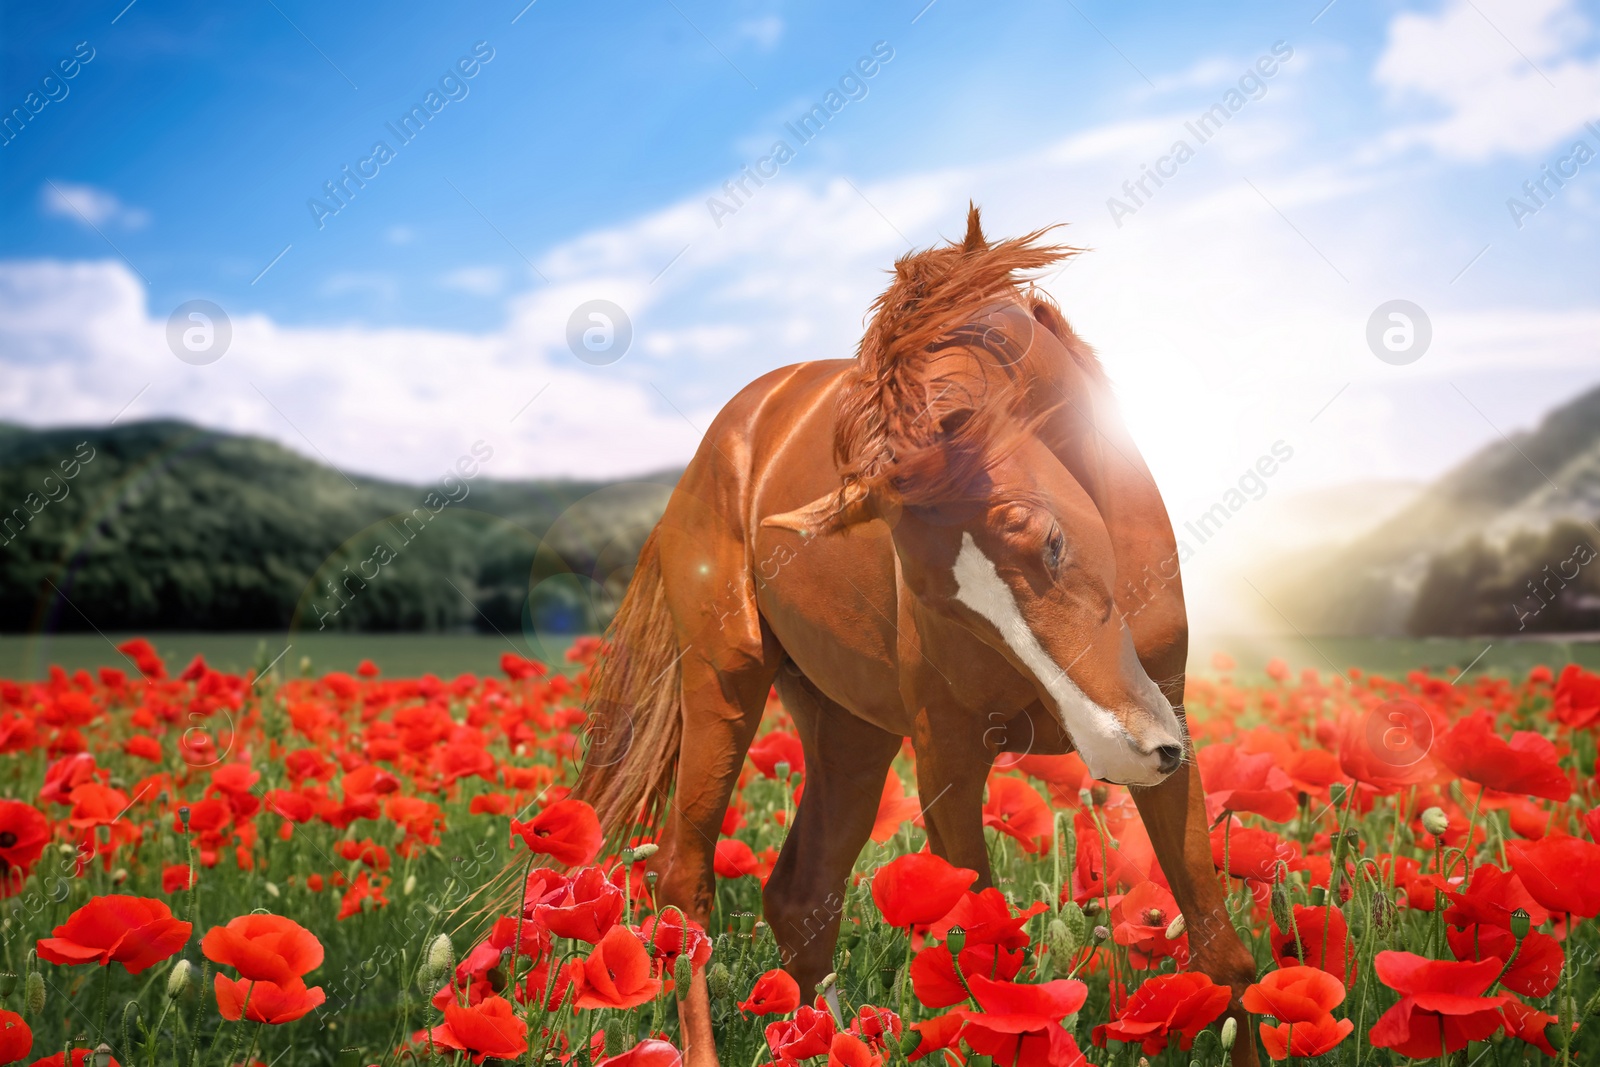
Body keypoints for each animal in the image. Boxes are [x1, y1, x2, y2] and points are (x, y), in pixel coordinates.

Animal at [576, 211, 1260, 1067]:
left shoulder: (1170, 719)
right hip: (722, 689)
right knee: (684, 886)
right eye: (939, 603)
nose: (1117, 750)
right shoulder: (949, 759)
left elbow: (1220, 951)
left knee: (800, 894)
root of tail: (714, 450)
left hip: (849, 729)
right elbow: (991, 969)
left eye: (1051, 542)